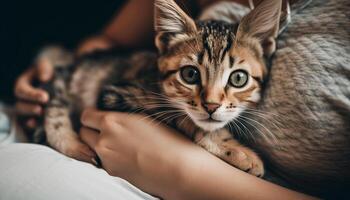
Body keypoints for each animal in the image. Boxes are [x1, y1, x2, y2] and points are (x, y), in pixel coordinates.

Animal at [35, 0, 282, 177]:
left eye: (238, 78)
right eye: (190, 74)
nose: (211, 106)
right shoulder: (114, 94)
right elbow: (184, 119)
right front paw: (237, 150)